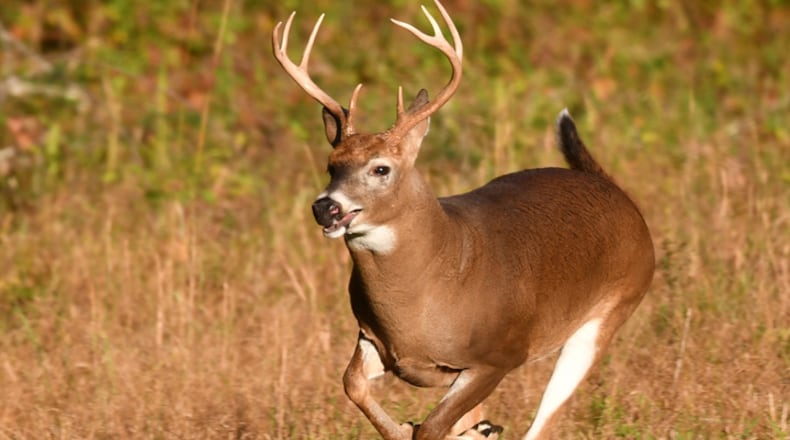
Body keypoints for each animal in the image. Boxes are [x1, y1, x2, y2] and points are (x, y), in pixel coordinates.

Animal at [272, 1, 655, 439]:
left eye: (381, 168)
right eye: (331, 165)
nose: (326, 207)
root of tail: (613, 189)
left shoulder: (500, 355)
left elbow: (431, 427)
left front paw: (415, 425)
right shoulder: (371, 337)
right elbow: (352, 384)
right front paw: (403, 425)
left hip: (609, 313)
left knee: (541, 423)